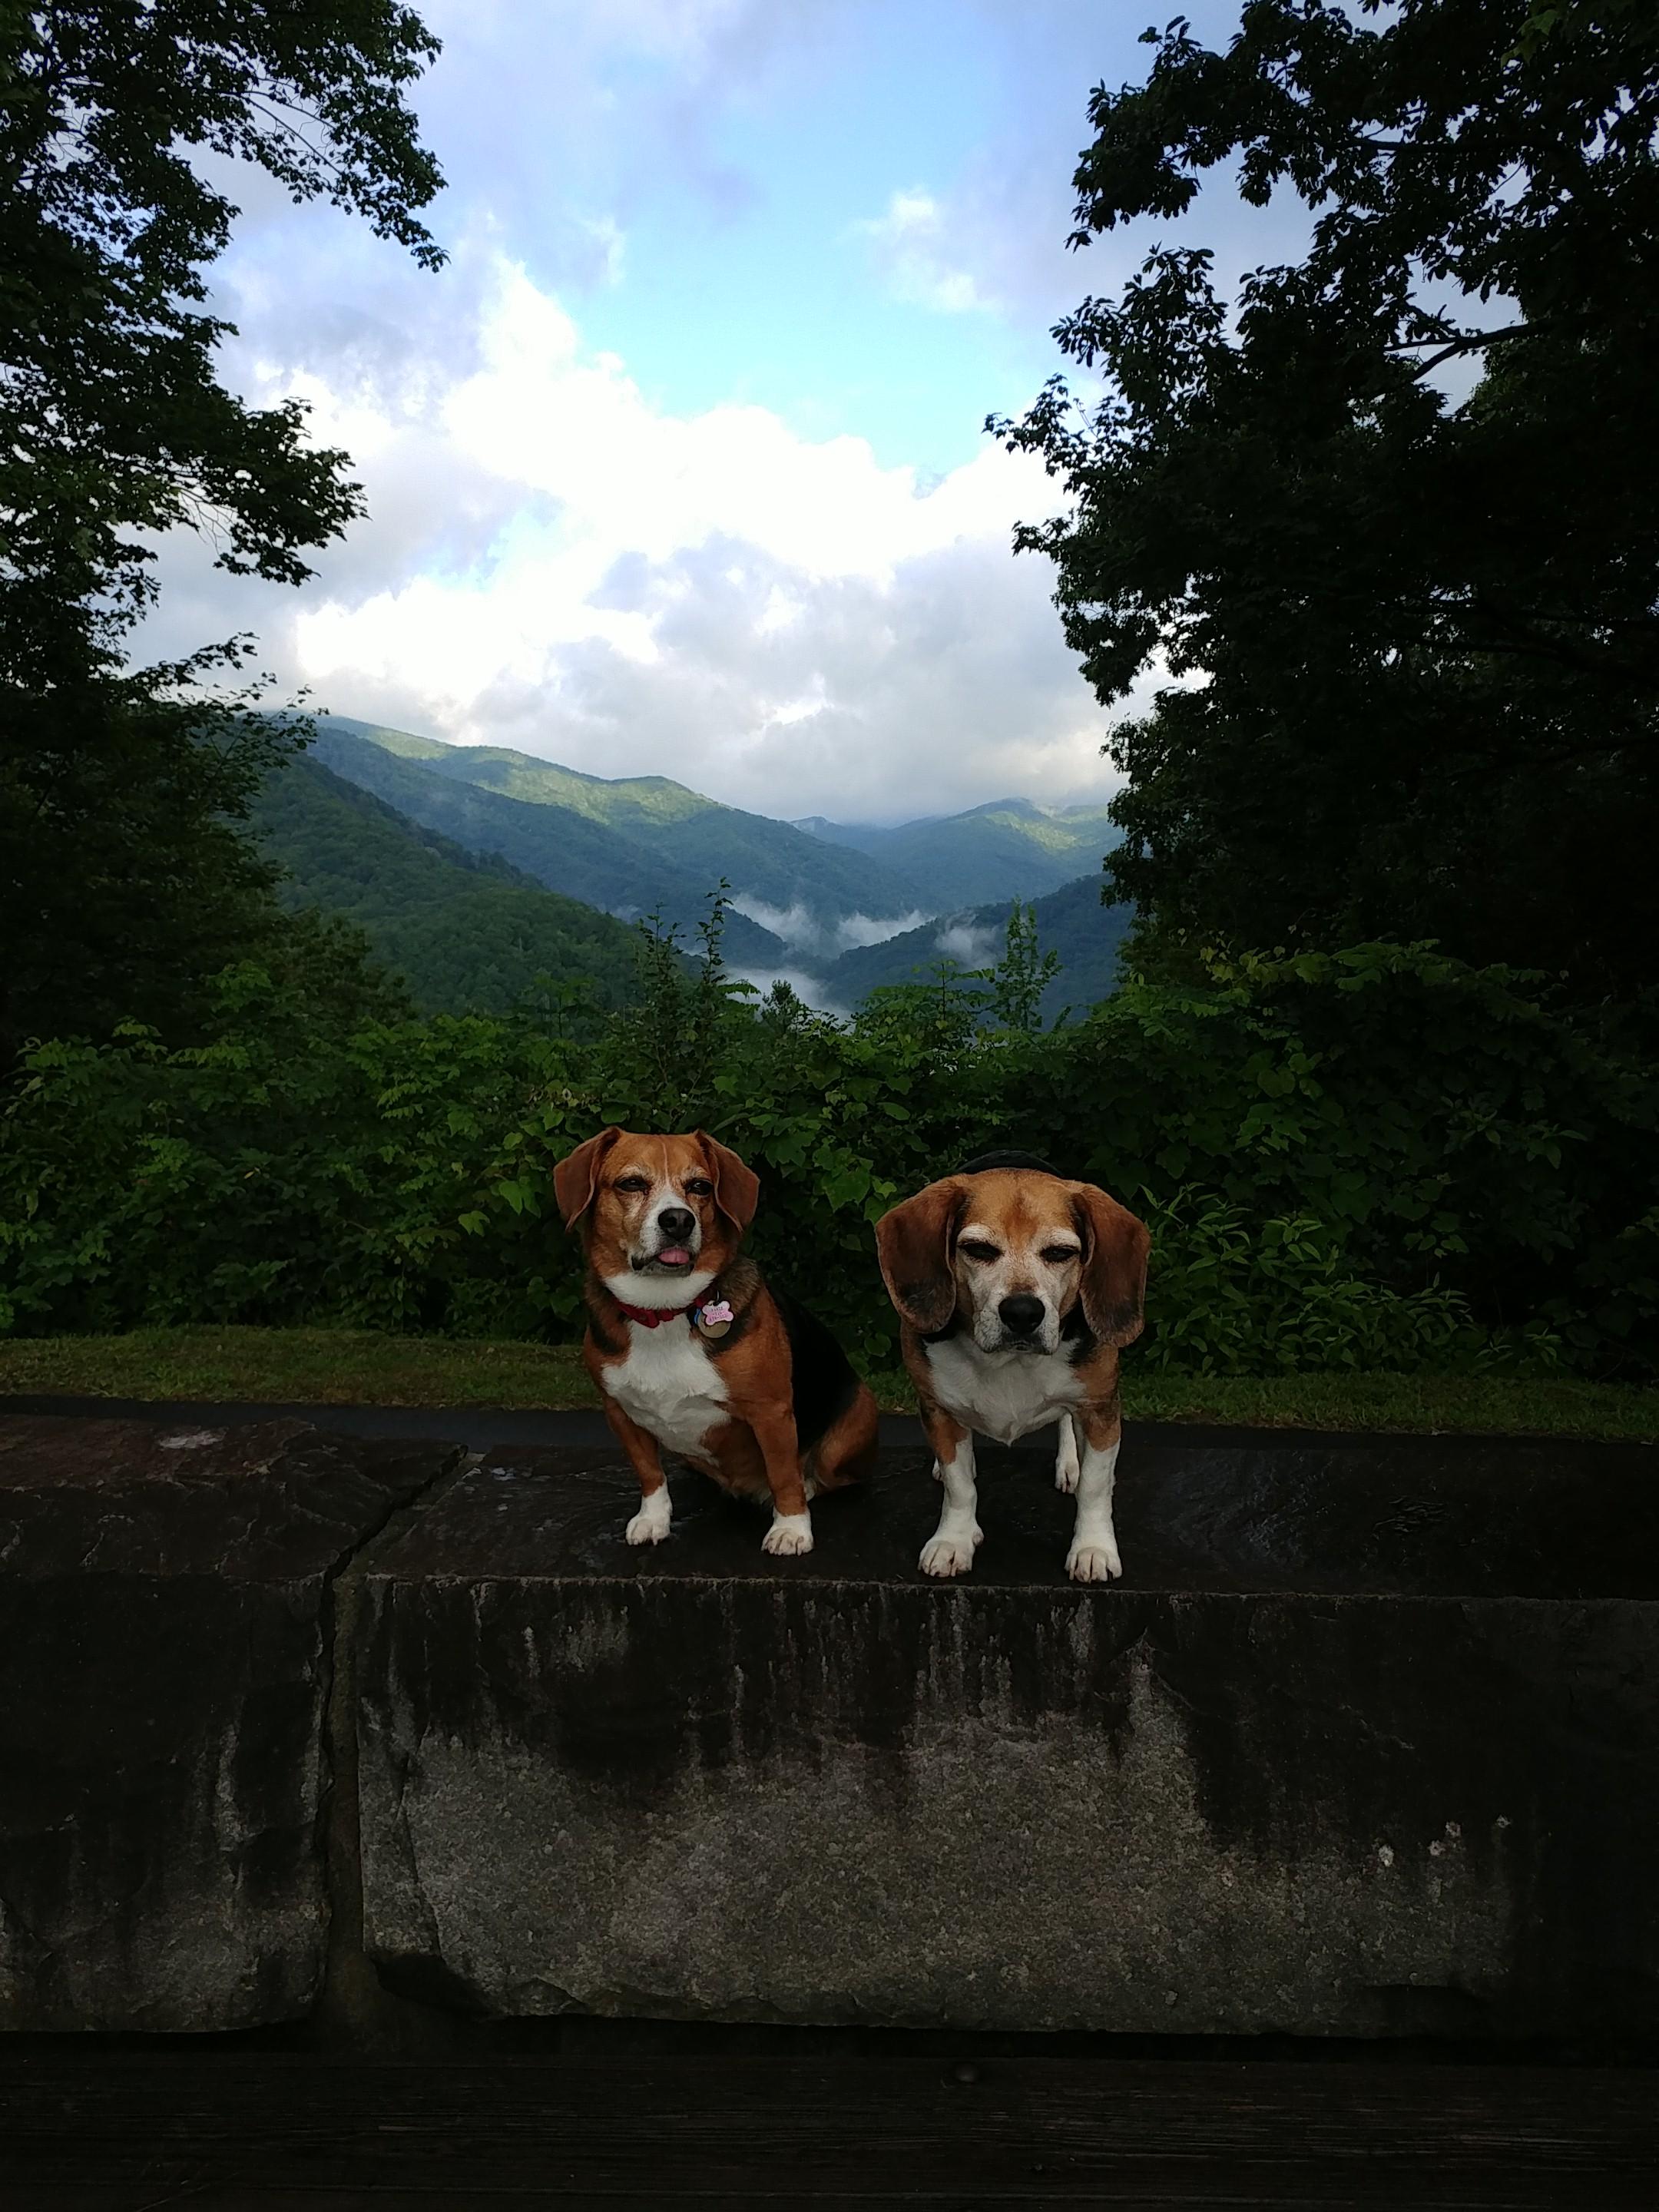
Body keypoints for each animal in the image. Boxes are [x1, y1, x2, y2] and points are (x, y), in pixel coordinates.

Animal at [553, 1124, 885, 1557]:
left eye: (701, 1187)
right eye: (631, 1184)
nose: (679, 1220)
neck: (664, 1312)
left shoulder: (771, 1412)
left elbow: (783, 1474)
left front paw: (792, 1528)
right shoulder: (619, 1412)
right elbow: (649, 1473)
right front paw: (653, 1520)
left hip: (850, 1427)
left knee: (824, 1474)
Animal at [876, 1150, 1150, 1584]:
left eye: (1059, 1253)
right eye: (978, 1249)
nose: (1023, 1312)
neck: (1010, 1359)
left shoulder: (1101, 1408)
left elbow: (1094, 1486)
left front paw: (1093, 1548)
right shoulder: (938, 1408)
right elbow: (959, 1486)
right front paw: (954, 1540)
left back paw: (1071, 1463)